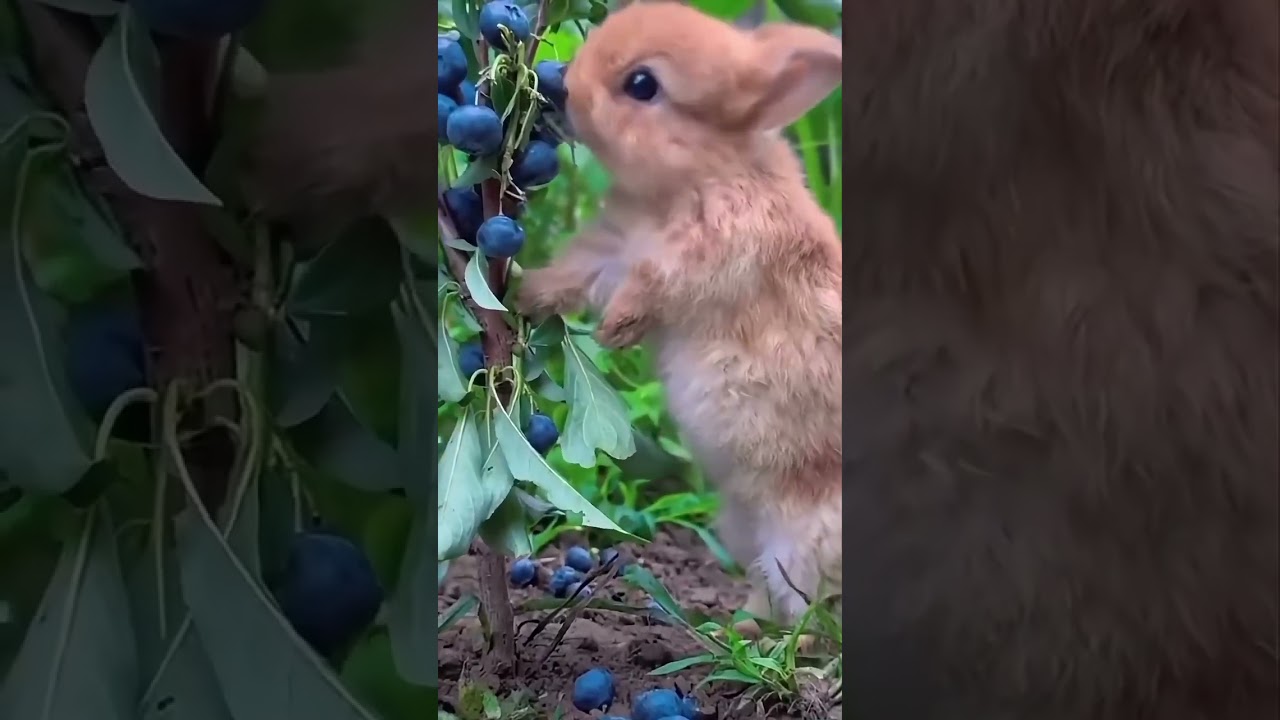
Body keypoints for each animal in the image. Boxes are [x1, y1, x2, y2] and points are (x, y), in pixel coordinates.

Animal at [515, 2, 844, 635]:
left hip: (805, 541)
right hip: (746, 528)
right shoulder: (611, 250)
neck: (706, 168)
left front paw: (615, 331)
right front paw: (515, 290)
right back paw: (729, 627)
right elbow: (569, 278)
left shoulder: (704, 255)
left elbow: (656, 287)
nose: (561, 87)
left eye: (642, 84)